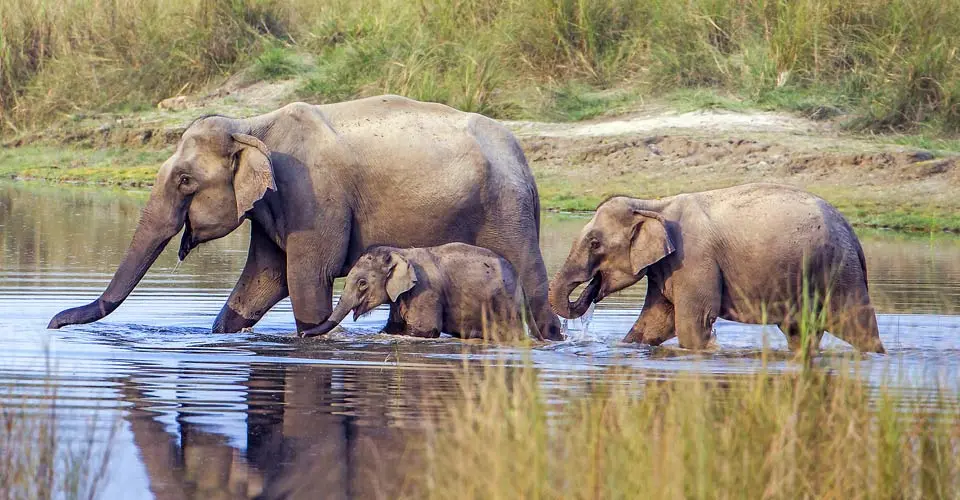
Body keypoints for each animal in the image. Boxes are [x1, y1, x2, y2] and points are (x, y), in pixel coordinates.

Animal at [301, 243, 540, 340]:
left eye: (362, 283)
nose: (302, 335)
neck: (400, 252)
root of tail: (520, 284)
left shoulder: (426, 292)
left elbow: (424, 331)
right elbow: (392, 328)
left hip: (505, 305)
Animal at [548, 183, 885, 353]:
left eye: (594, 243)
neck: (653, 204)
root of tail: (853, 233)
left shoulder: (694, 260)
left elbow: (691, 323)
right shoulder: (667, 266)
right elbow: (655, 321)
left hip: (839, 273)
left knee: (858, 326)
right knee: (800, 333)